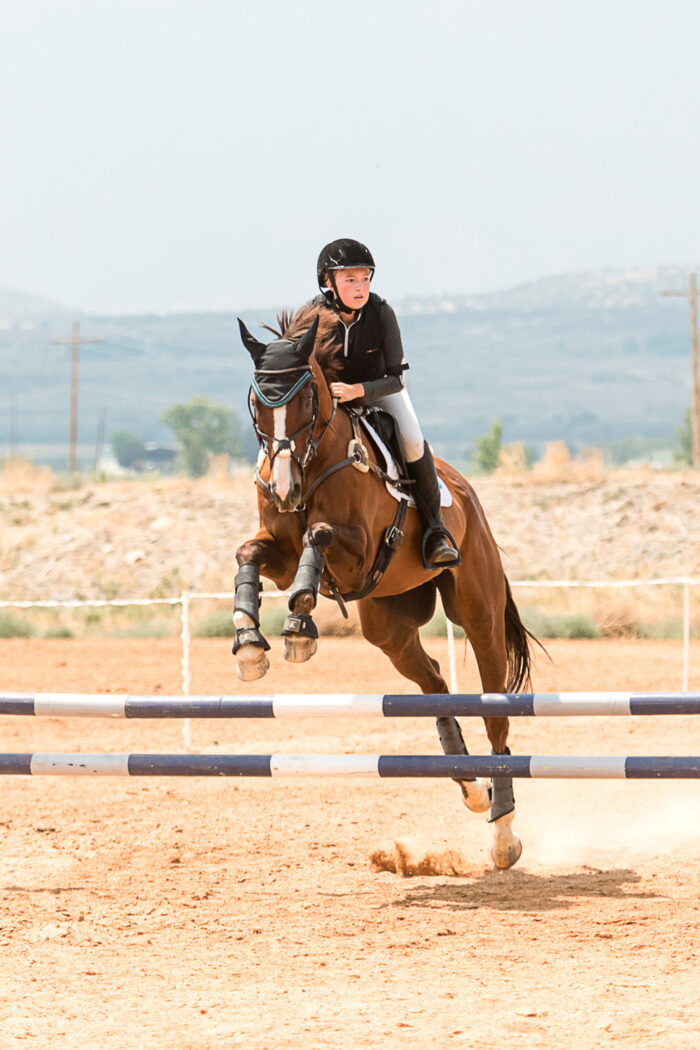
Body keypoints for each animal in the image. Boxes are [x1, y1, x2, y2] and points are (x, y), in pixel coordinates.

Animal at [233, 304, 537, 869]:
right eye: (258, 401)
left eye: (306, 398)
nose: (283, 490)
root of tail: (468, 494)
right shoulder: (279, 555)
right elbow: (250, 555)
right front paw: (249, 643)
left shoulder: (357, 554)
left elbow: (318, 535)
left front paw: (299, 625)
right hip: (388, 627)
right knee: (436, 686)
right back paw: (470, 787)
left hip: (478, 613)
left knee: (495, 713)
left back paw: (503, 833)